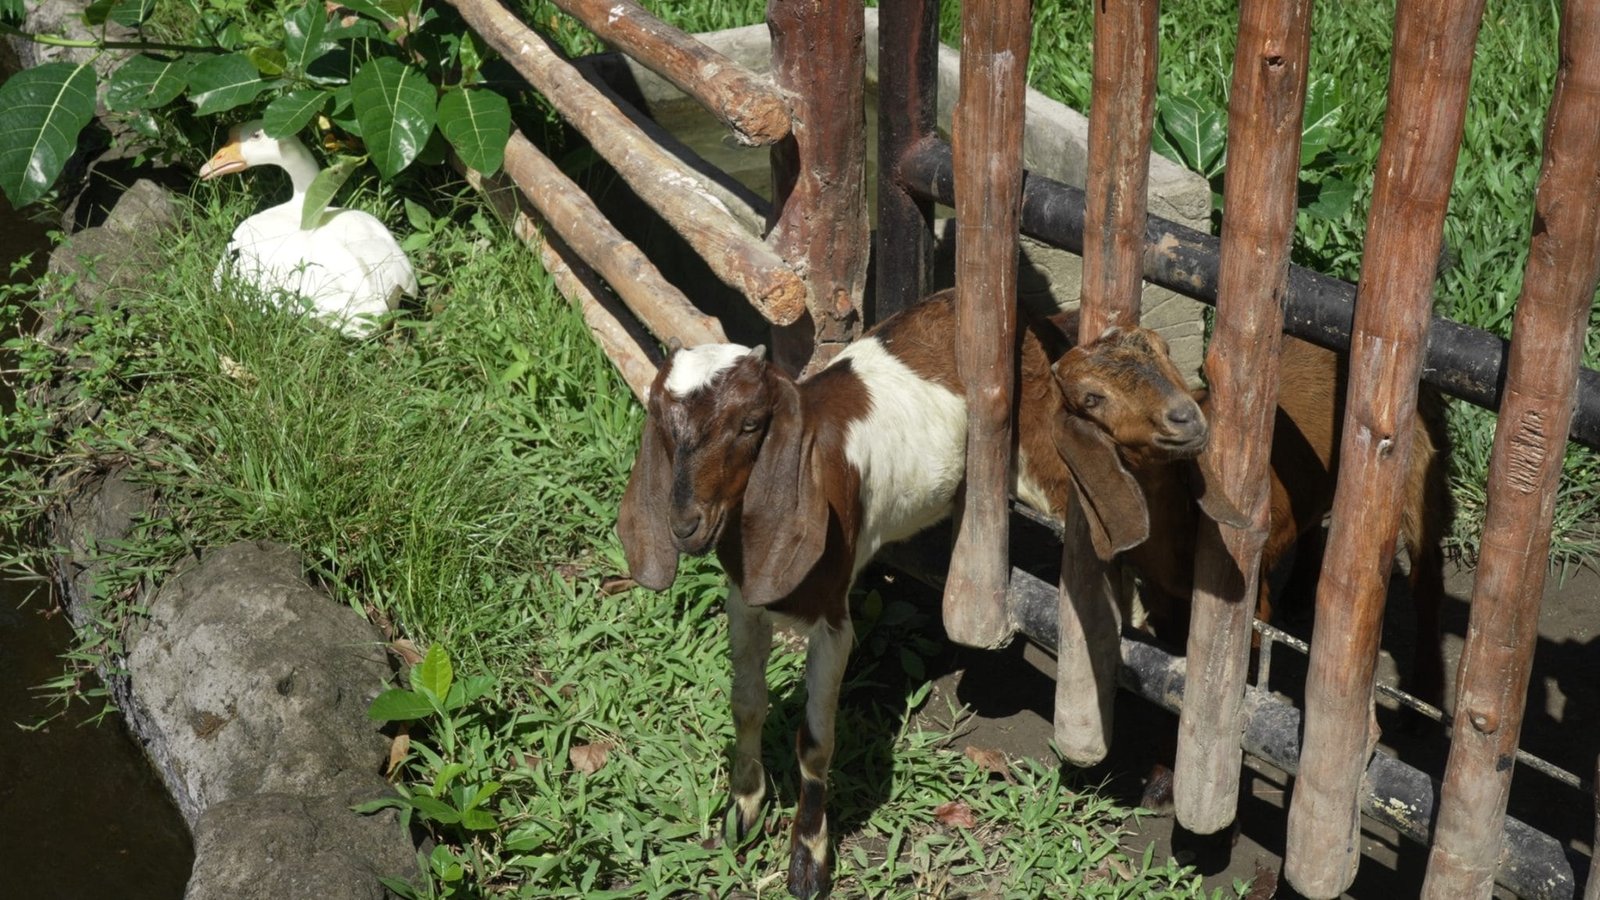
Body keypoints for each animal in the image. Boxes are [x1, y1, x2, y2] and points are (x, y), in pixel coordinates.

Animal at [616, 288, 1072, 898]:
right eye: (661, 422)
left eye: (751, 424)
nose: (685, 525)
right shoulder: (745, 601)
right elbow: (746, 703)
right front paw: (743, 810)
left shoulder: (833, 621)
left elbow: (814, 741)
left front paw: (808, 859)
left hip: (1036, 448)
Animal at [1049, 326, 1452, 708]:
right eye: (1091, 399)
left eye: (1165, 349)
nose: (1185, 417)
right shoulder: (1160, 591)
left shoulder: (1251, 595)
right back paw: (1299, 597)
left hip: (1416, 457)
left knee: (1426, 573)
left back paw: (1424, 700)